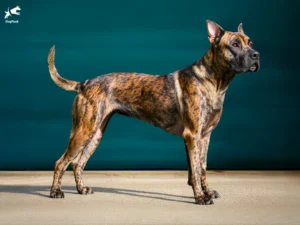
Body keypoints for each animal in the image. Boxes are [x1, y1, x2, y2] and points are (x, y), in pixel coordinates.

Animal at [47, 20, 260, 205]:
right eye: (234, 44)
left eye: (250, 42)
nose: (256, 55)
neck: (213, 80)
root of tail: (85, 83)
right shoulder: (192, 136)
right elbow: (196, 170)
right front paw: (200, 197)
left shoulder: (205, 136)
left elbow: (202, 168)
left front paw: (207, 192)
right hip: (84, 131)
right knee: (61, 162)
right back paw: (56, 192)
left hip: (95, 134)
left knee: (77, 163)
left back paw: (81, 189)